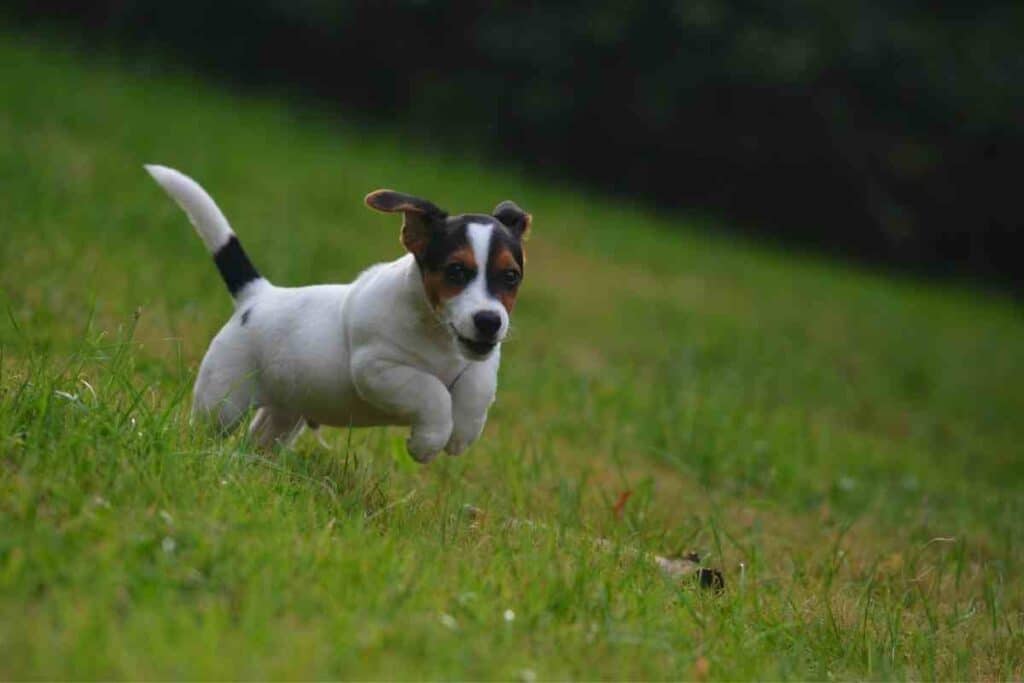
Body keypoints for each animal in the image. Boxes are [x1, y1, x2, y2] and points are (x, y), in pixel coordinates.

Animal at [148, 166, 532, 464]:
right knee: (207, 428)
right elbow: (432, 391)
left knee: (261, 437)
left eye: (511, 277)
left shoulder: (479, 361)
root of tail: (257, 296)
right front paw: (428, 442)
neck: (437, 334)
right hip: (222, 400)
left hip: (285, 411)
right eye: (456, 271)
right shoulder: (377, 368)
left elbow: (477, 386)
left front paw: (461, 433)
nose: (489, 322)